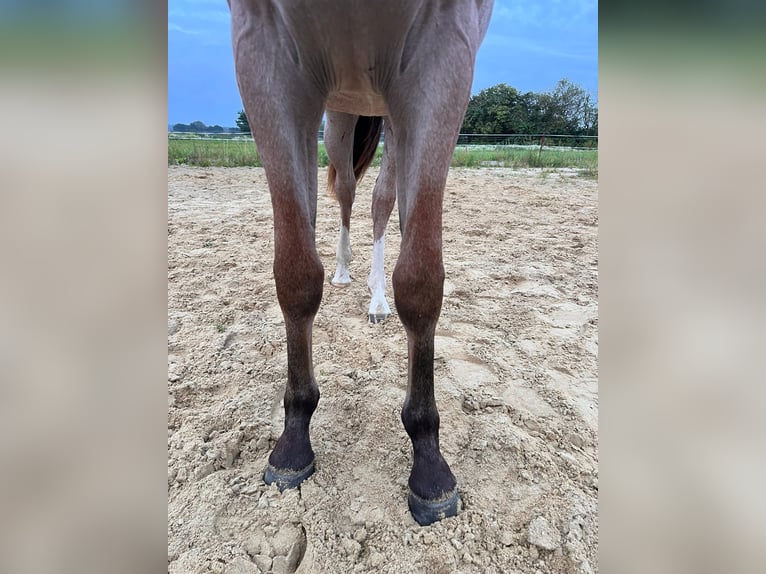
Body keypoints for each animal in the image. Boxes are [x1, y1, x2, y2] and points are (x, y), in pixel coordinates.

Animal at [228, 0, 493, 526]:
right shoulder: (262, 50)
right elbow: (296, 273)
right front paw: (293, 441)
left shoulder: (446, 52)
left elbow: (420, 281)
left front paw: (429, 464)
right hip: (341, 112)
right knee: (347, 191)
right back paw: (344, 270)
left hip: (391, 112)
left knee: (380, 200)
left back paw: (375, 299)